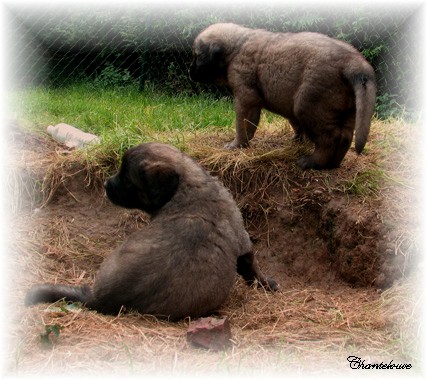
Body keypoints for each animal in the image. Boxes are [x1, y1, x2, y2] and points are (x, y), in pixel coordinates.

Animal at [25, 142, 278, 320]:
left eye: (127, 180)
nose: (106, 185)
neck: (187, 188)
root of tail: (98, 299)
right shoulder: (243, 244)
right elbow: (252, 268)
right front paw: (266, 284)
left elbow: (252, 269)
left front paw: (266, 285)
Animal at [191, 23, 378, 169]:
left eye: (197, 56)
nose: (189, 72)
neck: (235, 48)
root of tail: (353, 63)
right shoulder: (286, 101)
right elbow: (295, 123)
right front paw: (297, 140)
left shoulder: (246, 98)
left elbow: (243, 125)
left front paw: (237, 145)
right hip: (349, 111)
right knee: (345, 137)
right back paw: (333, 164)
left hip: (308, 104)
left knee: (329, 138)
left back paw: (312, 162)